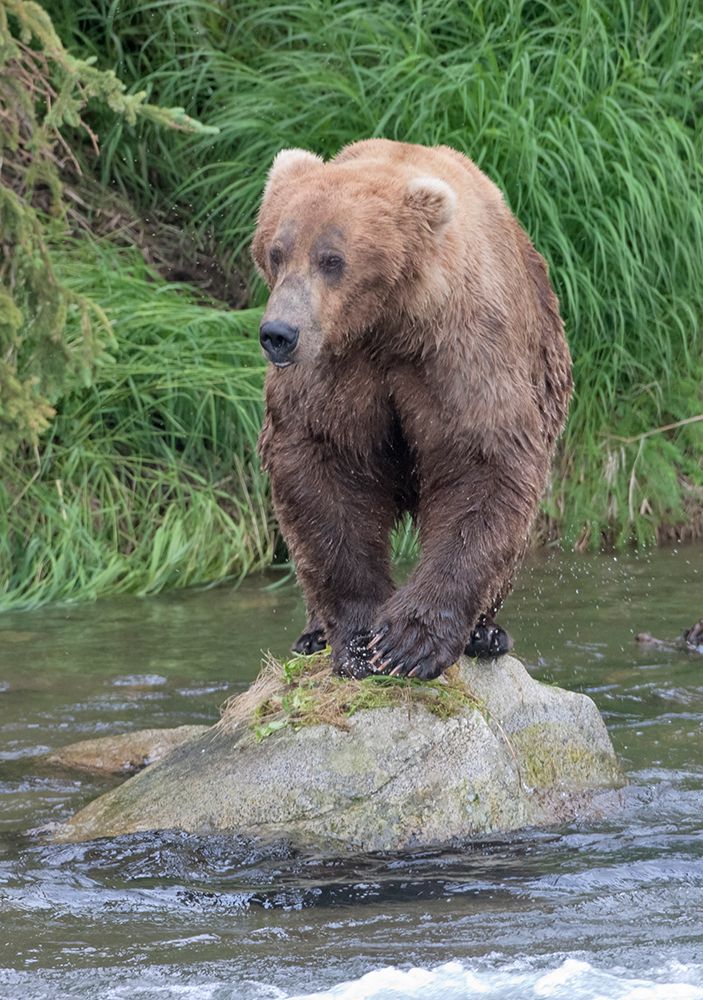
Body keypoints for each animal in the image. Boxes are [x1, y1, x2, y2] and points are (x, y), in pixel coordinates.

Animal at [252, 139, 572, 680]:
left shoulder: (458, 354)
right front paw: (360, 640)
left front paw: (407, 643)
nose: (279, 333)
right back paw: (313, 634)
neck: (386, 323)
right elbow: (322, 475)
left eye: (332, 258)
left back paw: (487, 633)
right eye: (276, 251)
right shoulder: (333, 372)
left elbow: (483, 466)